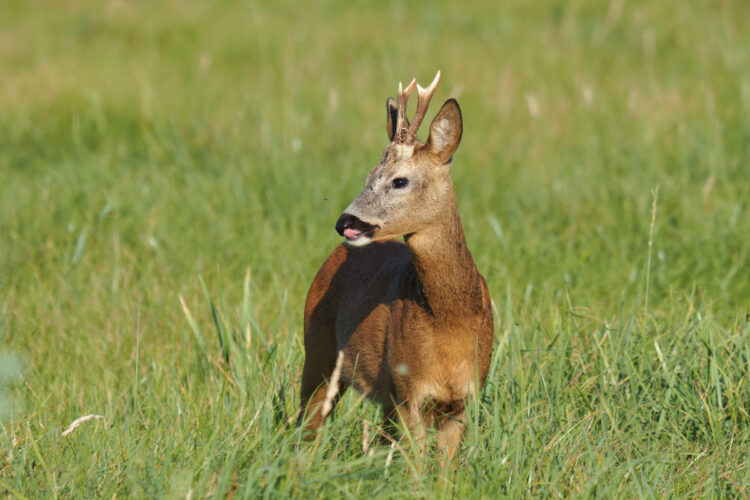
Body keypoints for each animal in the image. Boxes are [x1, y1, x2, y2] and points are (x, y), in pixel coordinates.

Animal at [298, 71, 494, 460]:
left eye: (399, 180)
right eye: (367, 175)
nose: (345, 222)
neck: (450, 324)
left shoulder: (465, 398)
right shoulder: (409, 390)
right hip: (318, 349)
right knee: (305, 425)